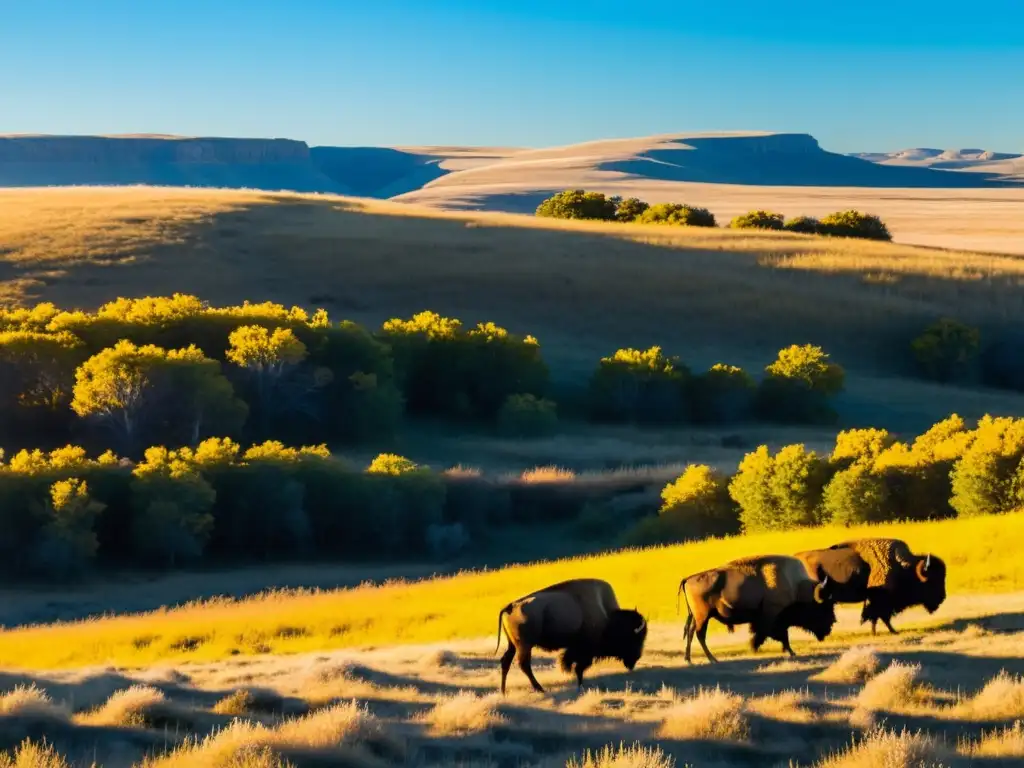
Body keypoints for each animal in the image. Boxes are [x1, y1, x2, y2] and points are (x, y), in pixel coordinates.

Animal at [493, 577, 647, 696]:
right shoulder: (584, 651)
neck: (607, 616)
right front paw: (579, 685)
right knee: (524, 664)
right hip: (525, 645)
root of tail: (511, 605)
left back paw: (503, 692)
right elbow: (578, 668)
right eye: (634, 639)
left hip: (513, 645)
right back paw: (540, 689)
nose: (635, 659)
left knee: (506, 661)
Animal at [675, 557, 835, 663]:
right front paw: (790, 652)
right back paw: (712, 659)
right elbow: (779, 635)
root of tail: (688, 578)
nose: (831, 624)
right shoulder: (774, 618)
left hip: (697, 617)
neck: (796, 587)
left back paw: (689, 659)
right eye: (822, 608)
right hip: (703, 617)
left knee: (691, 633)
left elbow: (768, 634)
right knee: (699, 635)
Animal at [794, 536, 946, 638]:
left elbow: (878, 617)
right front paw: (888, 631)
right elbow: (879, 616)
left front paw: (884, 631)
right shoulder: (879, 601)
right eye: (933, 580)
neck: (903, 567)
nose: (942, 597)